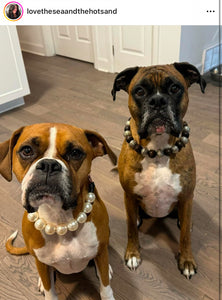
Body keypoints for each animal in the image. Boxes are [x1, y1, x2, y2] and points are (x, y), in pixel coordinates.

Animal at [0, 123, 117, 298]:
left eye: (75, 153)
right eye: (27, 150)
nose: (48, 164)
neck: (61, 221)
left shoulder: (100, 251)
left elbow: (105, 288)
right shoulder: (42, 264)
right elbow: (50, 291)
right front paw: (45, 285)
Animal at [111, 62, 206, 278]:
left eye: (175, 88)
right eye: (139, 91)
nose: (157, 101)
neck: (158, 150)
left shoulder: (186, 196)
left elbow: (185, 236)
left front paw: (186, 260)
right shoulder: (129, 195)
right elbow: (130, 228)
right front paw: (133, 253)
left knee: (184, 221)